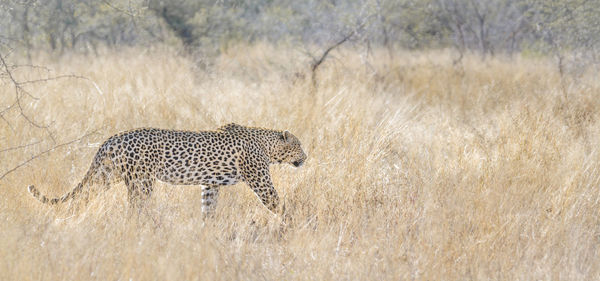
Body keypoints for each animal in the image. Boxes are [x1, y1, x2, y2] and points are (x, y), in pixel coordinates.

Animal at [28, 121, 308, 215]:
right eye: (299, 145)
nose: (306, 157)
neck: (267, 145)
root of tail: (114, 137)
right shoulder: (260, 180)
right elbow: (277, 204)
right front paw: (294, 223)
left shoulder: (210, 184)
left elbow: (208, 208)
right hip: (141, 181)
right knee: (136, 209)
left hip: (107, 175)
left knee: (83, 198)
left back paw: (69, 222)